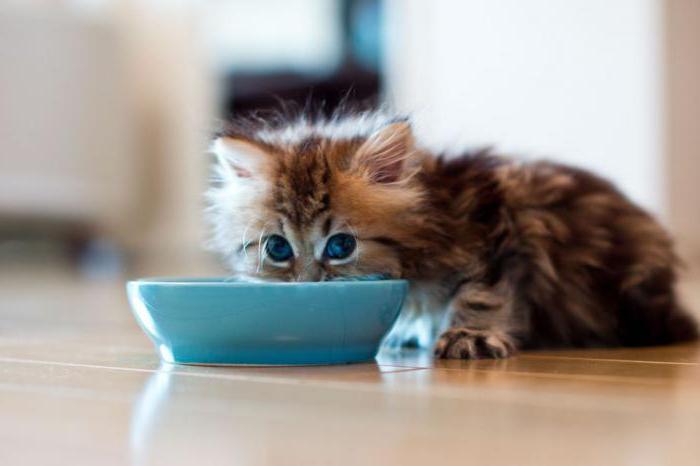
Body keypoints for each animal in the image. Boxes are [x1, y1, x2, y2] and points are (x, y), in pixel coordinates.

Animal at [205, 110, 696, 360]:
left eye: (341, 246)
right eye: (277, 248)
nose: (307, 287)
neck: (434, 216)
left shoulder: (499, 229)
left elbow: (481, 294)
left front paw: (469, 336)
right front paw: (411, 328)